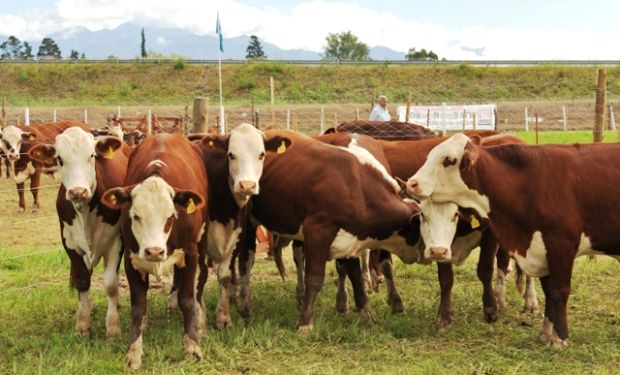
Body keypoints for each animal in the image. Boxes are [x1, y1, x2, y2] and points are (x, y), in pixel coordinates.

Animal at [100, 135, 209, 370]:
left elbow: (187, 300)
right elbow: (138, 307)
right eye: (136, 216)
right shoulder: (131, 260)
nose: (155, 252)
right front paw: (134, 350)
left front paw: (192, 345)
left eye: (171, 216)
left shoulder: (190, 254)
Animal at [406, 134, 620, 348]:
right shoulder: (540, 247)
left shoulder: (561, 245)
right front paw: (546, 332)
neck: (529, 183)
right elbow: (548, 290)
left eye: (448, 160)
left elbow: (559, 291)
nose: (411, 183)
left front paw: (559, 337)